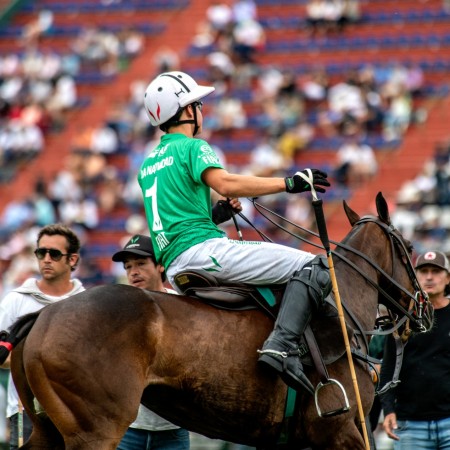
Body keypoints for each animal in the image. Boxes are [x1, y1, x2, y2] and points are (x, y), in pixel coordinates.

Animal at [1, 192, 434, 448]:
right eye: (410, 247)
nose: (425, 308)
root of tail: (44, 315)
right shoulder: (341, 430)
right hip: (96, 429)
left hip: (49, 430)